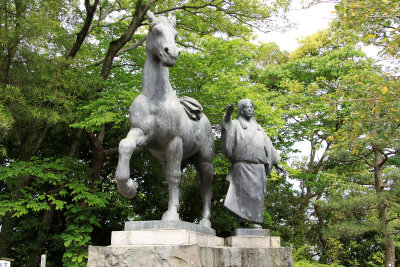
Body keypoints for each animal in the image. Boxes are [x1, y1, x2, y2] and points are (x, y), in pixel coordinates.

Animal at [114, 11, 214, 228]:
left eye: (175, 35)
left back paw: (204, 222)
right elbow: (125, 145)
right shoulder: (143, 136)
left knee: (205, 188)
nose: (172, 53)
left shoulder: (173, 142)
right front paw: (128, 187)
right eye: (155, 31)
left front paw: (171, 216)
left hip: (204, 160)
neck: (155, 99)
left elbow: (174, 178)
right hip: (173, 158)